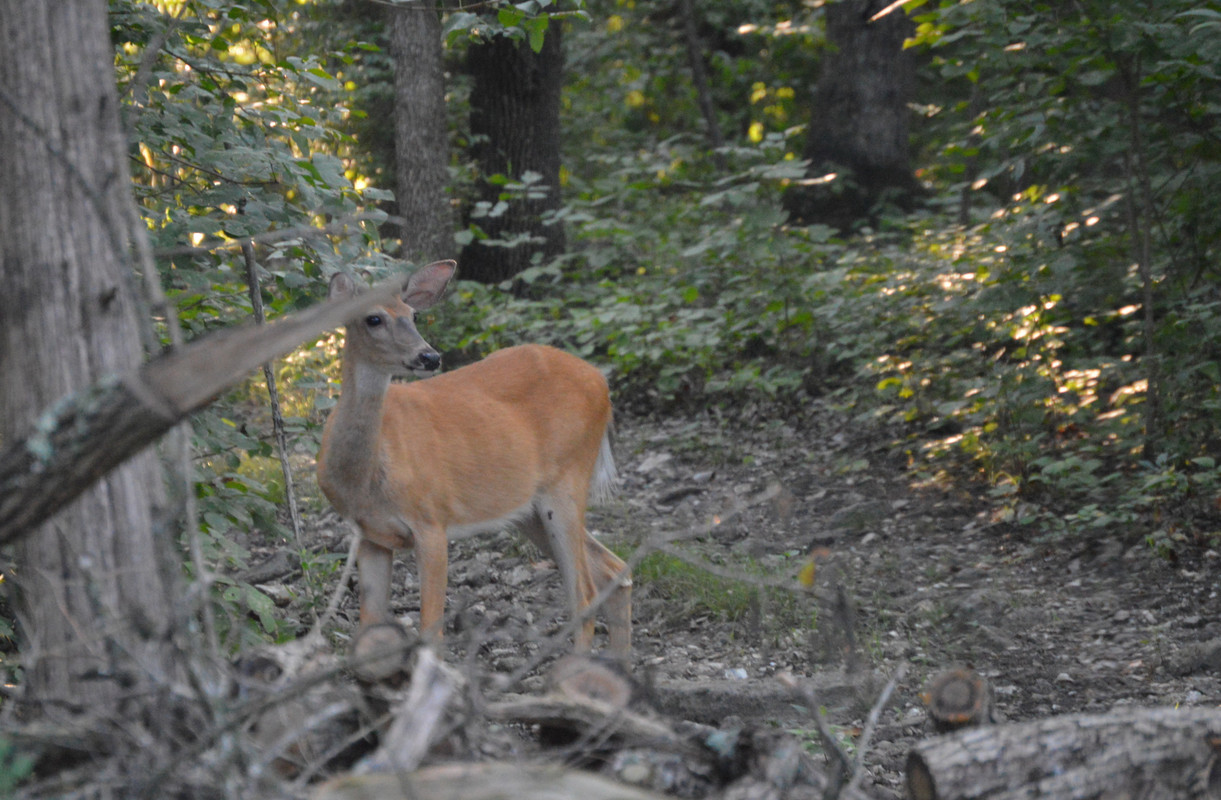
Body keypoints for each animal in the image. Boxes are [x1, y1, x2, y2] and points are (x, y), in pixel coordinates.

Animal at [316, 260, 631, 673]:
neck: (365, 478)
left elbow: (431, 631)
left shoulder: (431, 520)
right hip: (528, 510)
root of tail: (602, 382)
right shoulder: (370, 534)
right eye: (373, 318)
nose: (429, 357)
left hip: (568, 477)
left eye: (413, 315)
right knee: (615, 568)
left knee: (585, 591)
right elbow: (368, 635)